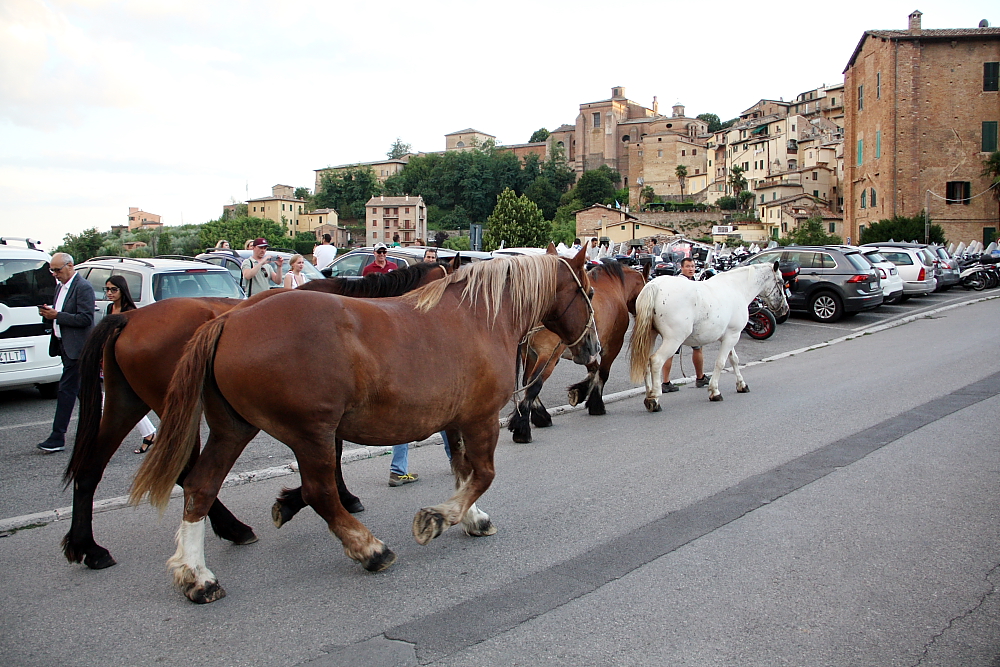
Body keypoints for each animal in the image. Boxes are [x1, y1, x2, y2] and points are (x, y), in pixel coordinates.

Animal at [62, 258, 454, 572]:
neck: (362, 314)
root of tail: (128, 317)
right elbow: (331, 459)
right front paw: (311, 500)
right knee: (184, 472)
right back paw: (230, 529)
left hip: (125, 403)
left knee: (91, 468)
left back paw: (88, 547)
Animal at [129, 247, 596, 604]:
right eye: (589, 291)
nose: (592, 348)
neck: (481, 317)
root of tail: (228, 320)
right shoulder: (480, 419)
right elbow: (482, 474)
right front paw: (438, 518)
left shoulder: (456, 419)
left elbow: (463, 471)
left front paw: (471, 517)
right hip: (311, 434)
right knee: (320, 493)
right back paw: (370, 549)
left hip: (235, 429)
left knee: (201, 486)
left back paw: (197, 574)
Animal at [508, 260, 648, 444]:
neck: (613, 285)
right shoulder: (612, 346)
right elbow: (602, 373)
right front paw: (595, 403)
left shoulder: (586, 348)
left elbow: (594, 369)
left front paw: (579, 392)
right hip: (548, 355)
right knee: (534, 383)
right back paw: (524, 428)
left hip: (530, 354)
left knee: (527, 381)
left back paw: (539, 416)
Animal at [624, 262, 788, 412]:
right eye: (780, 282)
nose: (785, 308)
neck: (736, 288)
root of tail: (655, 286)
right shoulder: (732, 336)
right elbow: (720, 363)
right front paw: (714, 391)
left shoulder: (730, 336)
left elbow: (734, 360)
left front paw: (741, 385)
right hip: (673, 340)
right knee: (656, 361)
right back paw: (655, 399)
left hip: (650, 337)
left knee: (645, 361)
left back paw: (648, 395)